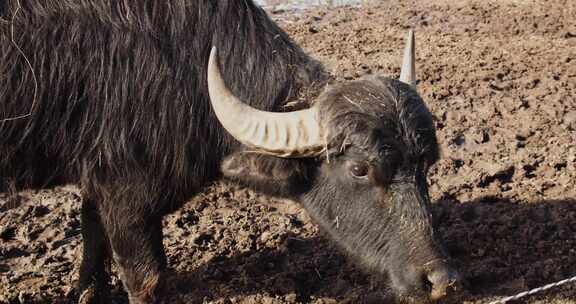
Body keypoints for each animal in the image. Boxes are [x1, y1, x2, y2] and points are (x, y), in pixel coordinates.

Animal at [0, 0, 460, 302]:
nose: (441, 280)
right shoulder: (126, 197)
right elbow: (145, 277)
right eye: (360, 169)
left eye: (426, 165)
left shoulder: (97, 181)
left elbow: (92, 239)